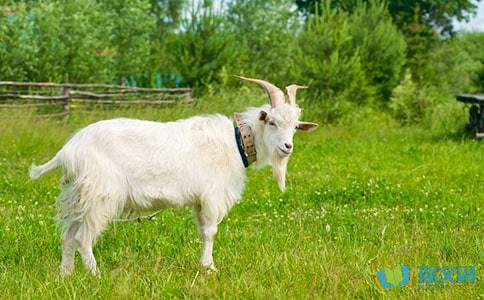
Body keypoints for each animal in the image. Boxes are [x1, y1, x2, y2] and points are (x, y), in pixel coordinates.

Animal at [29, 76, 318, 276]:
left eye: (295, 126)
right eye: (272, 122)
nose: (287, 147)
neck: (236, 142)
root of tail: (68, 151)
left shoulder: (199, 201)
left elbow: (203, 231)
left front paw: (204, 265)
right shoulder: (212, 195)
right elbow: (211, 231)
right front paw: (209, 268)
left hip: (80, 194)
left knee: (68, 236)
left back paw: (65, 275)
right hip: (100, 194)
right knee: (83, 238)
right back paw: (95, 274)